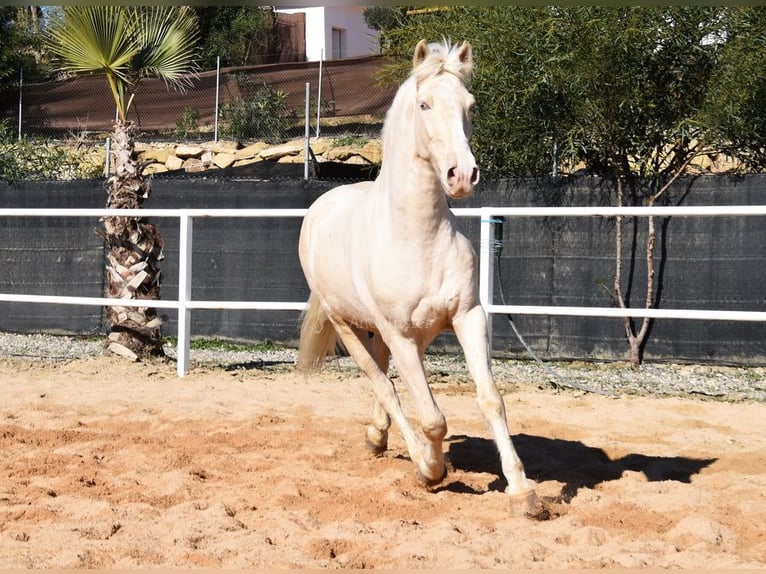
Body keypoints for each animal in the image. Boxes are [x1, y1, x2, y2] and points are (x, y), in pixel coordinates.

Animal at [296, 40, 536, 516]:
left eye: (470, 105)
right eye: (424, 104)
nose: (462, 175)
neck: (417, 236)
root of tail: (322, 206)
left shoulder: (467, 317)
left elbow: (490, 400)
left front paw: (522, 491)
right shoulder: (399, 334)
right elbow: (432, 417)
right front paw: (431, 470)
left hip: (405, 335)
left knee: (387, 383)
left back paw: (377, 437)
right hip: (348, 325)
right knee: (384, 385)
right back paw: (408, 453)